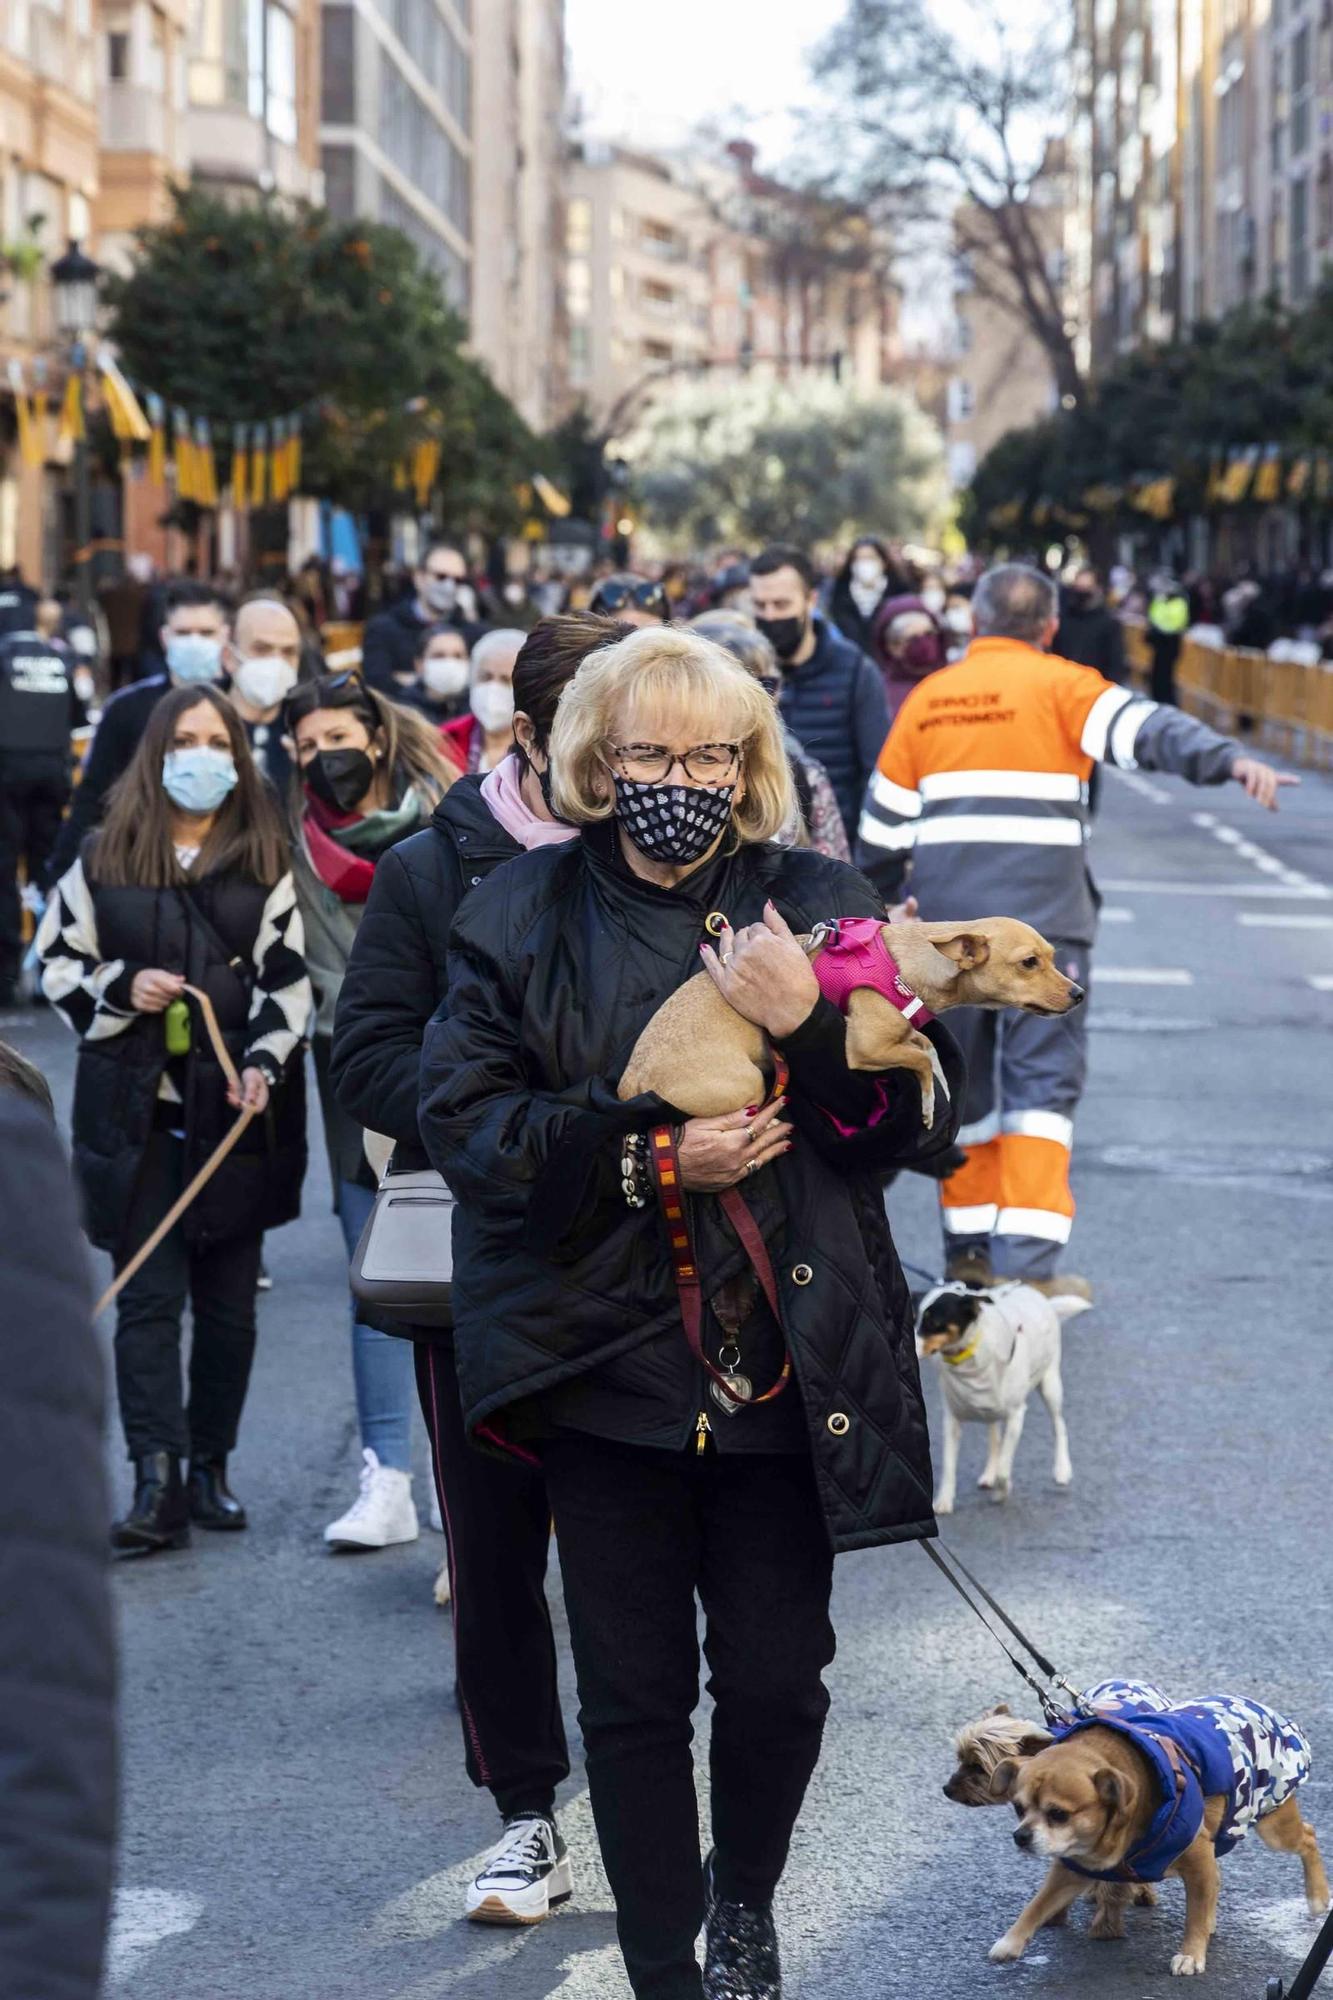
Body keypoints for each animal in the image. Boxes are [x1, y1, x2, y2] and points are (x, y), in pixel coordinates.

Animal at [620, 916, 1080, 1120]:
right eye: (1029, 963)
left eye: (1052, 957)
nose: (1079, 994)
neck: (902, 966)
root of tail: (631, 1081)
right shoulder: (864, 1049)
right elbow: (917, 1058)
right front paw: (928, 1103)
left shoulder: (900, 1034)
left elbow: (925, 1046)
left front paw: (939, 1084)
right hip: (746, 1085)